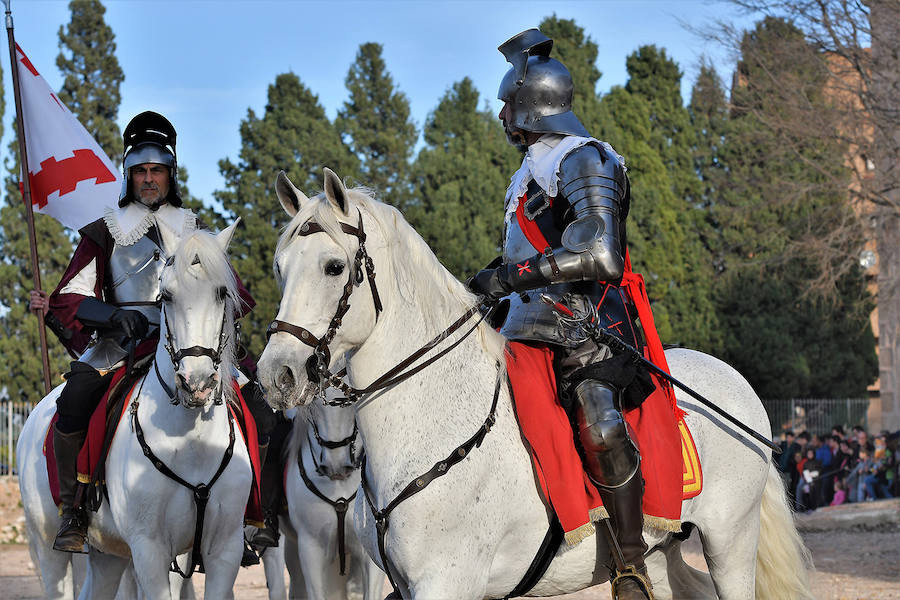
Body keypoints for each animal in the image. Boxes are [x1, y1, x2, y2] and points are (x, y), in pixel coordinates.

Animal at [18, 223, 256, 596]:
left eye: (221, 293)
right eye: (166, 296)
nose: (197, 382)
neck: (191, 442)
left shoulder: (224, 550)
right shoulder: (150, 550)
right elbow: (74, 297)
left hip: (108, 552)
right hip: (47, 546)